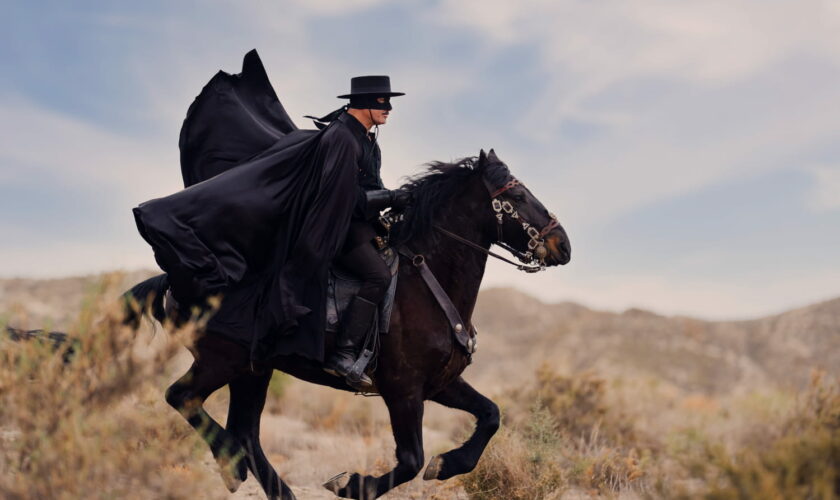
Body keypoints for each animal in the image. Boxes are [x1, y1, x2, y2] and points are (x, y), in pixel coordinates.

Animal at [126, 149, 572, 500]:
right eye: (517, 195)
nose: (562, 245)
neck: (429, 281)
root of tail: (178, 279)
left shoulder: (440, 384)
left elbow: (490, 416)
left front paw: (447, 464)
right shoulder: (403, 389)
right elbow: (411, 460)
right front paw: (352, 484)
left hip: (254, 368)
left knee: (246, 431)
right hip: (222, 360)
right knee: (182, 397)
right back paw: (231, 468)